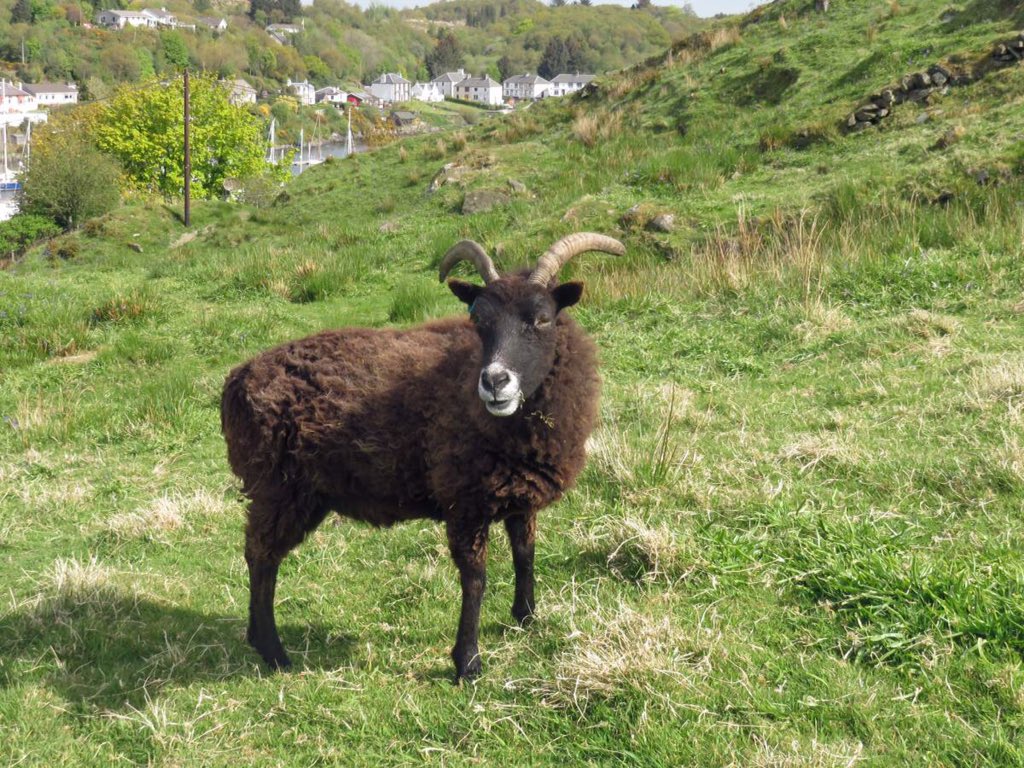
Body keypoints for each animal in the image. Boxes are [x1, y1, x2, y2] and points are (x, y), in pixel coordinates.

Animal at [221, 232, 625, 680]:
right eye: (478, 321)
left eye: (542, 319)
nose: (494, 382)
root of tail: (236, 381)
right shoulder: (464, 500)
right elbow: (475, 578)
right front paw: (468, 661)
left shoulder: (520, 492)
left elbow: (525, 554)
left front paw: (526, 618)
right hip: (278, 488)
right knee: (261, 556)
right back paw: (274, 652)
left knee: (259, 554)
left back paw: (256, 637)